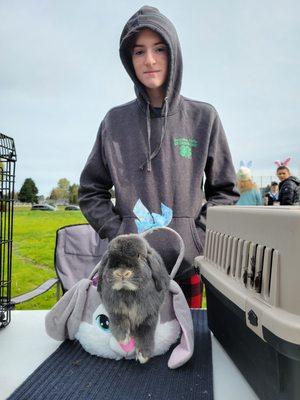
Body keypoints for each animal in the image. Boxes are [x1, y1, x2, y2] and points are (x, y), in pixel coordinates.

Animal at [97, 233, 170, 364]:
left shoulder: (150, 314)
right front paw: (123, 338)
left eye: (139, 256)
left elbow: (146, 331)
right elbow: (118, 318)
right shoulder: (113, 308)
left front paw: (143, 355)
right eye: (110, 257)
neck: (128, 292)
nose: (122, 273)